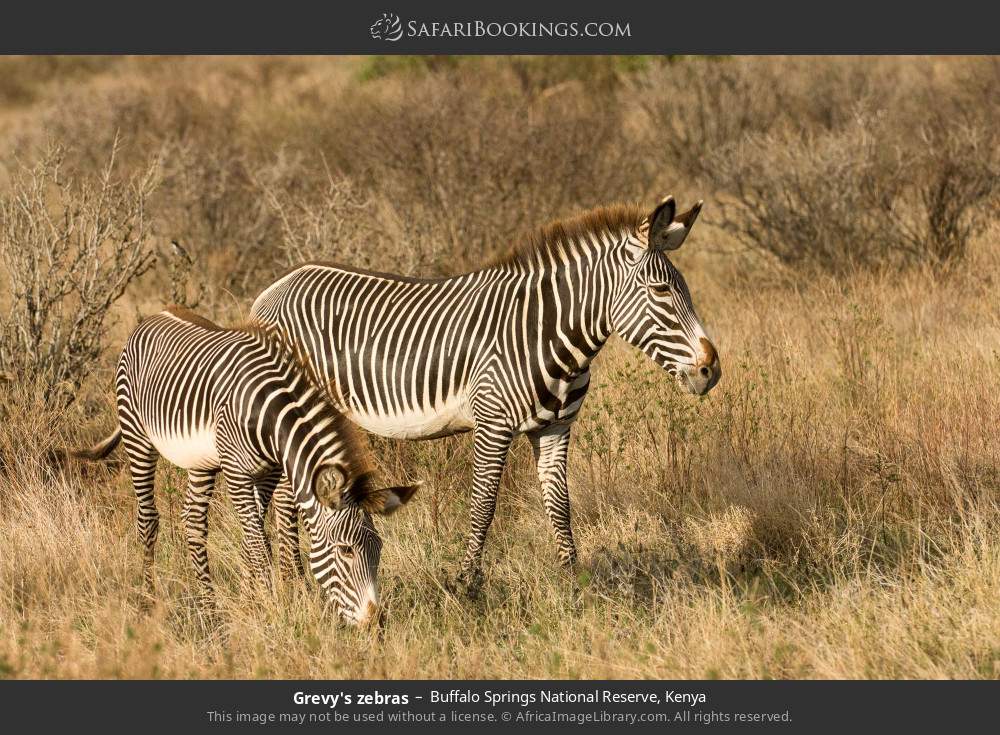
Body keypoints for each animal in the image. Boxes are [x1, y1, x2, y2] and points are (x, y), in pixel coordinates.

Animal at [70, 306, 418, 624]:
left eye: (379, 548)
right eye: (345, 550)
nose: (375, 622)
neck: (271, 418)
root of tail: (155, 315)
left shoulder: (269, 472)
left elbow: (256, 537)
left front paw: (253, 602)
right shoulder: (237, 474)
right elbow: (258, 543)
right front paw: (274, 611)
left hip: (201, 462)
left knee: (194, 522)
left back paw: (209, 610)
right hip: (136, 435)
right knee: (148, 519)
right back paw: (148, 601)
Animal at [249, 196, 719, 586]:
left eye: (685, 288)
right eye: (661, 290)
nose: (710, 370)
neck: (546, 334)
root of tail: (273, 288)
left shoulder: (555, 428)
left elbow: (560, 504)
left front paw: (574, 583)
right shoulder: (492, 424)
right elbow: (484, 505)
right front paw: (467, 585)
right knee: (284, 497)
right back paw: (291, 580)